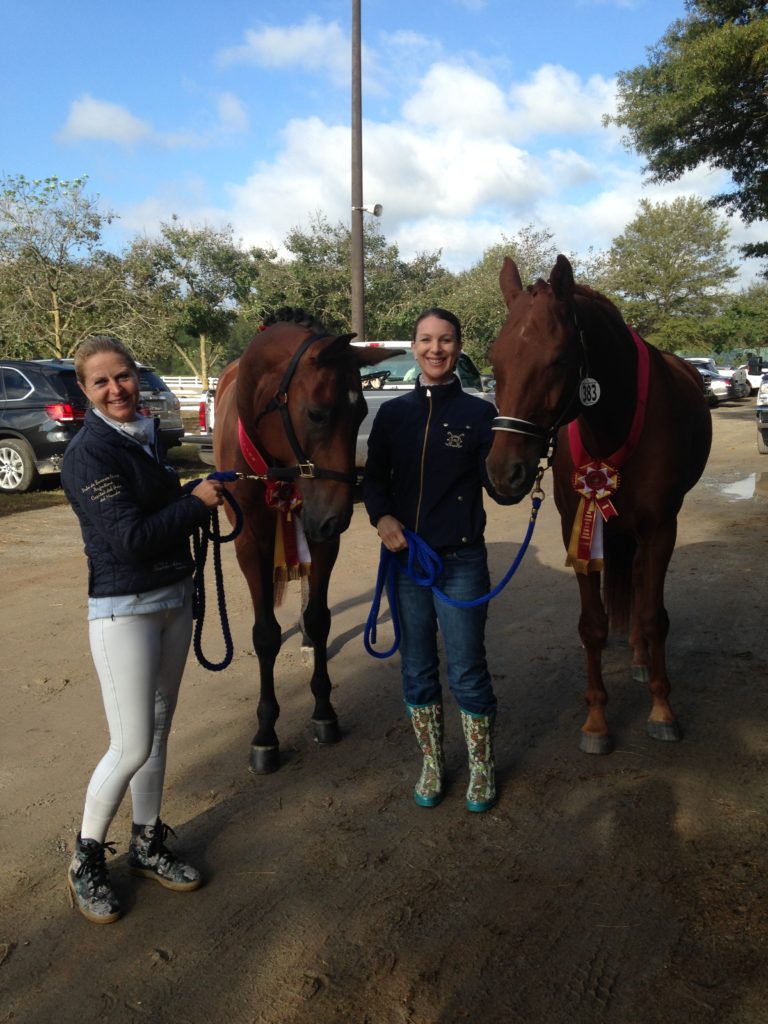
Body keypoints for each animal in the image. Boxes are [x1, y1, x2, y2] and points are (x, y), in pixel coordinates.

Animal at [217, 307, 397, 770]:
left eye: (360, 416)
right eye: (317, 413)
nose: (338, 517)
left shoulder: (321, 538)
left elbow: (319, 617)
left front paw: (323, 711)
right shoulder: (251, 543)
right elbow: (264, 634)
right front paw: (265, 735)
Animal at [489, 256, 712, 753]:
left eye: (558, 359)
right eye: (494, 361)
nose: (502, 472)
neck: (612, 422)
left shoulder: (660, 527)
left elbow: (652, 615)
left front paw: (662, 709)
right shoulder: (576, 525)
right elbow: (592, 625)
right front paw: (595, 721)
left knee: (643, 585)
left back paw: (642, 660)